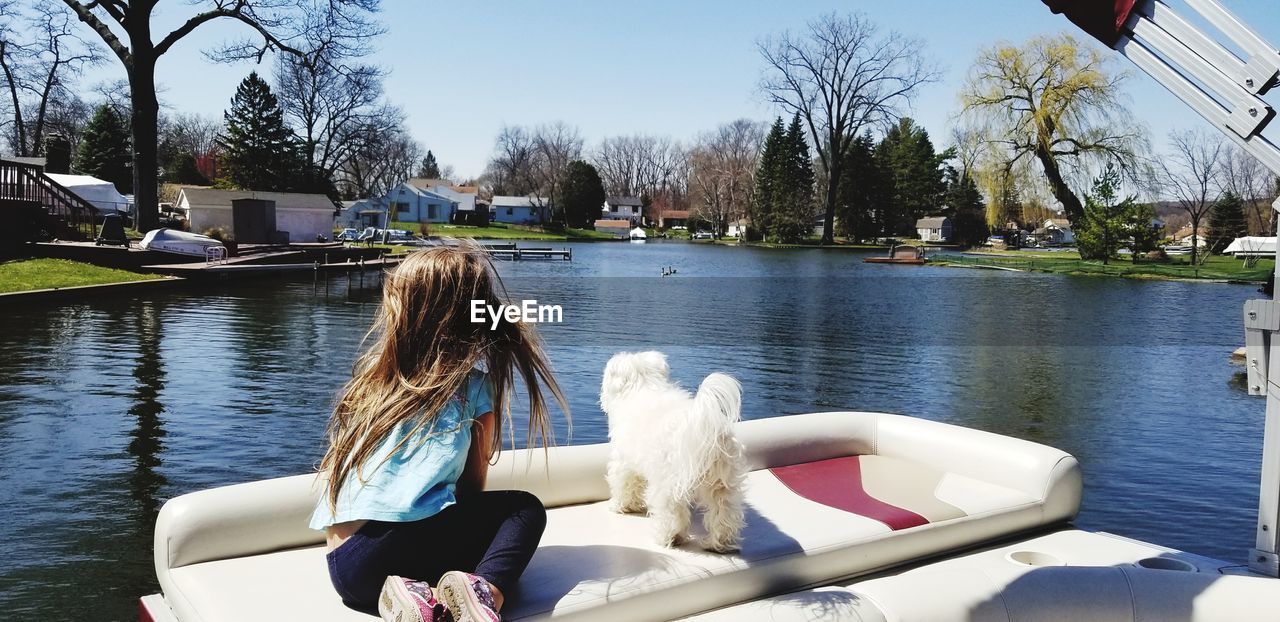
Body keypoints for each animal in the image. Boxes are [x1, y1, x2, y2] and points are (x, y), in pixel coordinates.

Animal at [596, 353, 747, 550]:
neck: (644, 384)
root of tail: (702, 425)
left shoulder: (623, 461)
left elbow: (624, 486)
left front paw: (620, 506)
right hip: (722, 481)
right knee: (724, 512)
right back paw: (718, 543)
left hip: (667, 482)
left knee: (671, 514)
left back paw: (669, 537)